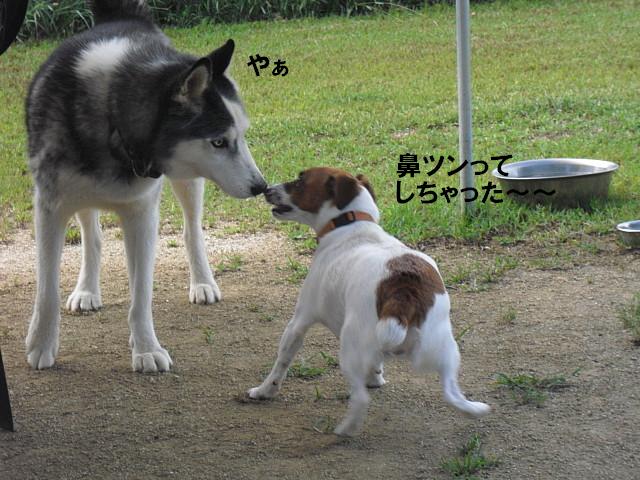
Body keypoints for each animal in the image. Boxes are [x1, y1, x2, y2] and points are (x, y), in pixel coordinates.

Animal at [25, 0, 267, 372]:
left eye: (241, 135)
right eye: (219, 142)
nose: (261, 186)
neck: (113, 119)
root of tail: (125, 18)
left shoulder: (142, 215)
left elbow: (141, 294)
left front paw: (146, 349)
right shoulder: (50, 209)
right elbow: (46, 290)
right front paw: (42, 345)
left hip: (186, 181)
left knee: (191, 232)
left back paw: (202, 282)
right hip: (81, 197)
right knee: (92, 236)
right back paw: (87, 290)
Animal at [248, 167, 490, 435]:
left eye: (300, 181)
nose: (266, 189)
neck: (352, 223)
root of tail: (403, 288)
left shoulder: (299, 320)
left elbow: (282, 361)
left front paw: (264, 390)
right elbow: (376, 362)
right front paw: (376, 377)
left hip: (350, 347)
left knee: (361, 398)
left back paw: (345, 429)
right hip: (445, 349)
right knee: (452, 393)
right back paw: (474, 410)